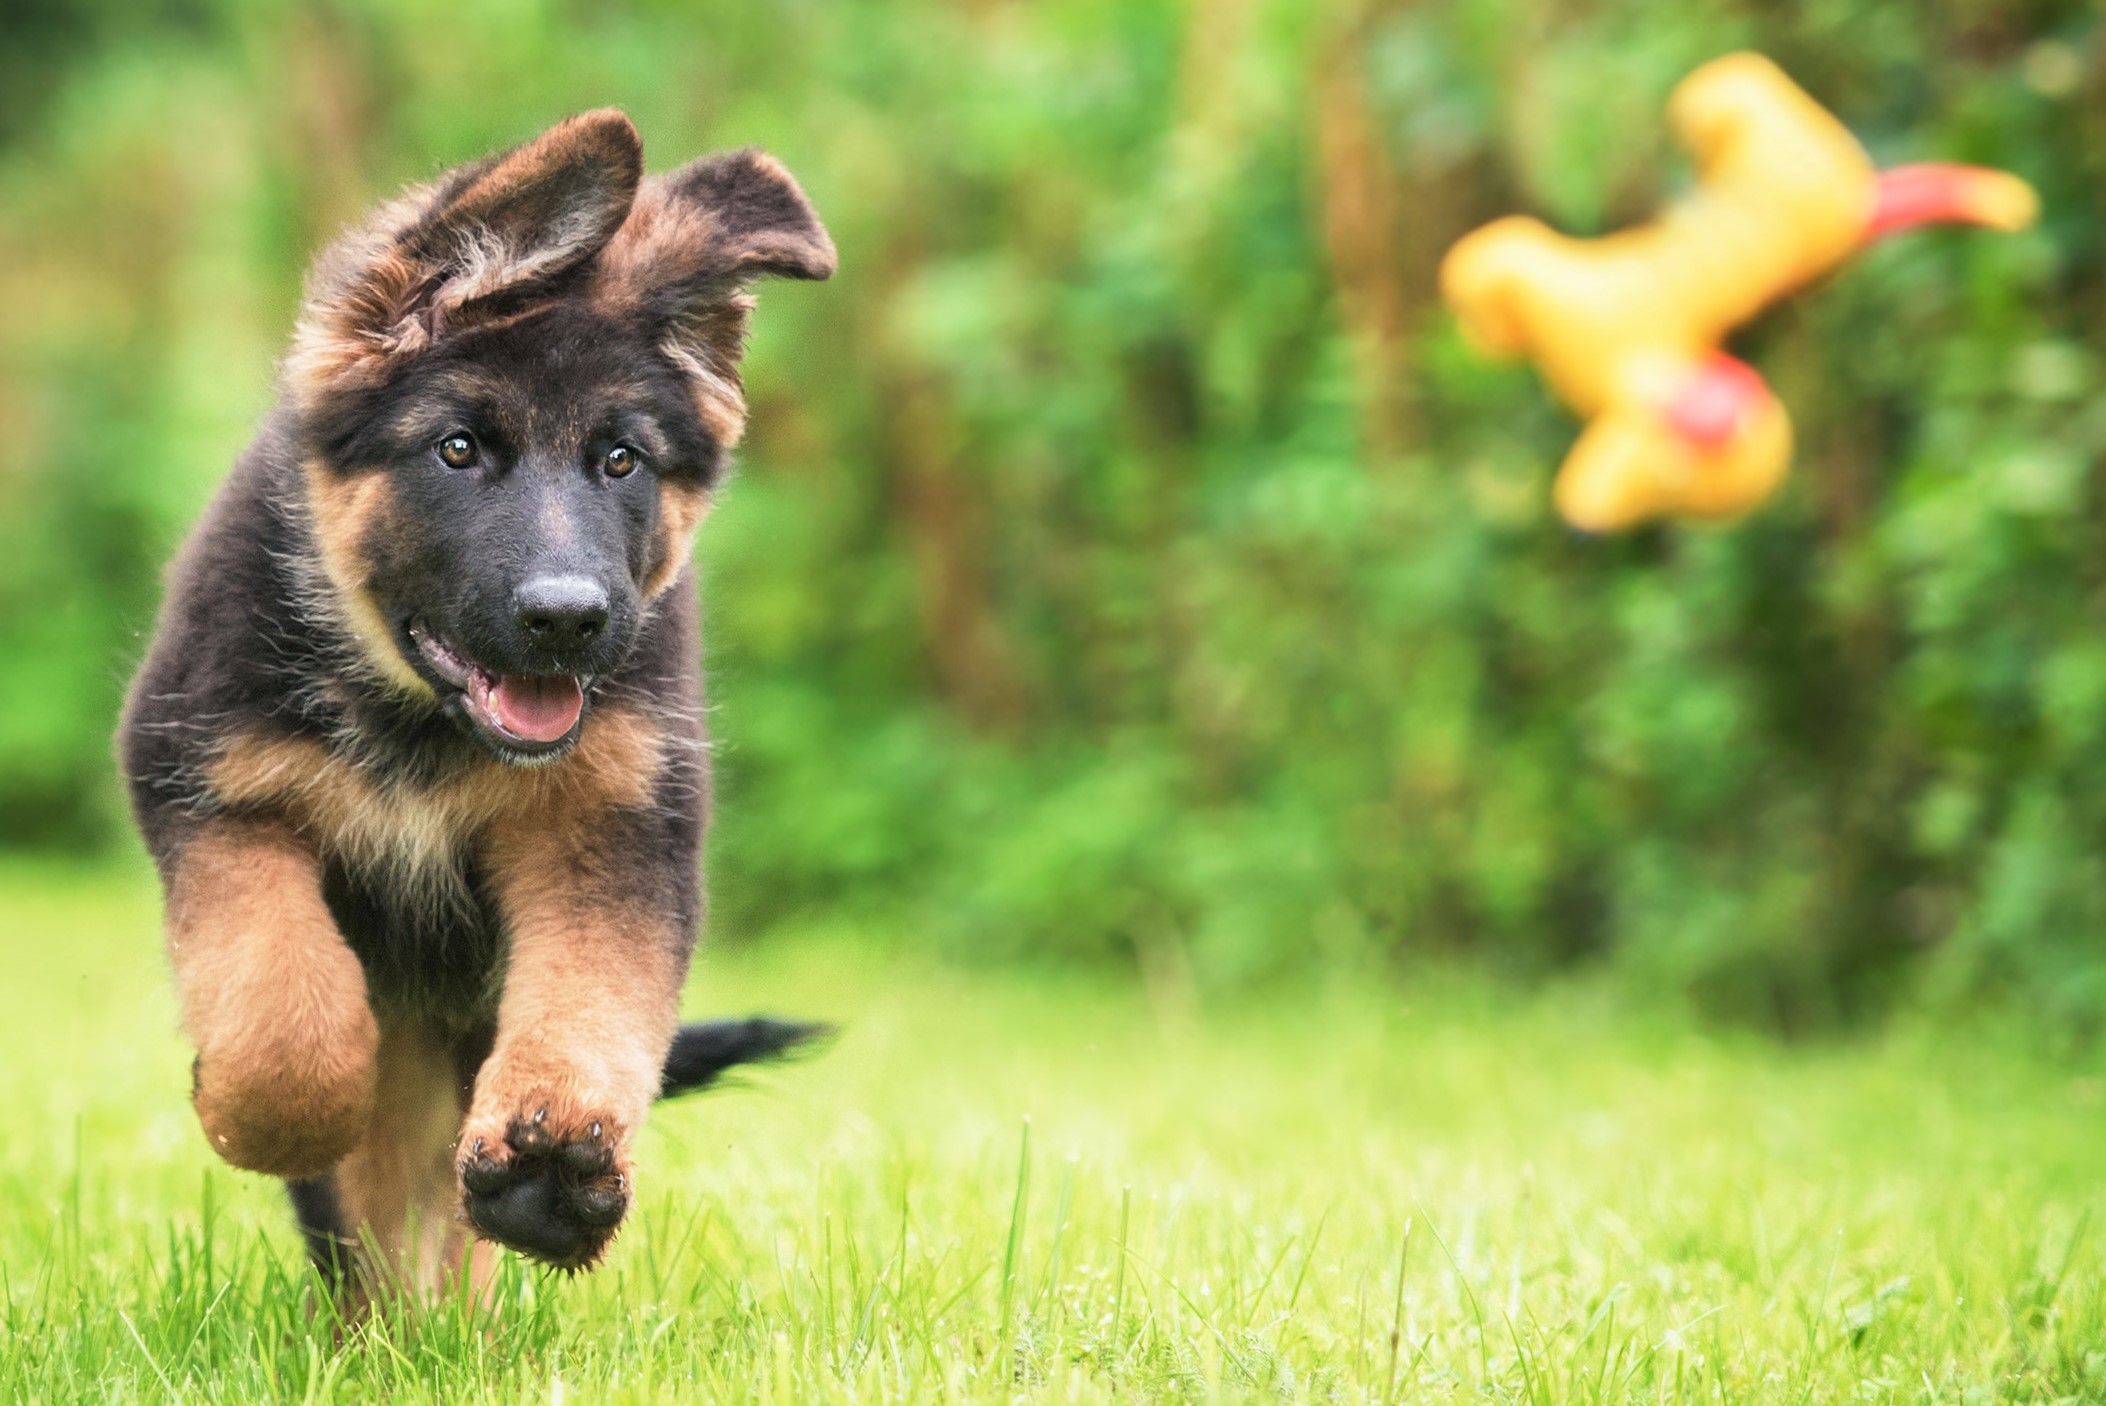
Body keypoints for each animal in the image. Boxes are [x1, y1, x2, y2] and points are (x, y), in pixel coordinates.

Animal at [119, 109, 833, 1296]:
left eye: (620, 460)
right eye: (459, 449)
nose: (568, 618)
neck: (422, 722)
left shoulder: (613, 827)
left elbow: (591, 999)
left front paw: (553, 1162)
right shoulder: (213, 792)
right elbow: (280, 1013)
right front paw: (260, 1113)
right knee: (379, 1206)